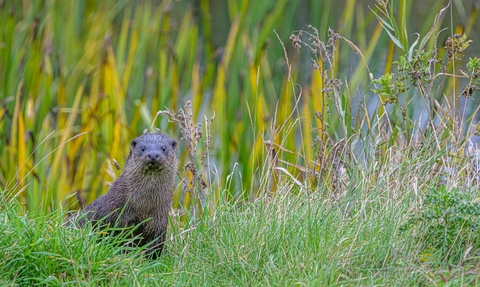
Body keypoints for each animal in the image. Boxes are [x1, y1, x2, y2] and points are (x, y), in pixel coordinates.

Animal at [68, 132, 177, 260]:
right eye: (143, 148)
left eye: (163, 148)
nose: (153, 155)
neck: (142, 207)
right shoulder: (109, 215)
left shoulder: (159, 222)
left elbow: (154, 247)